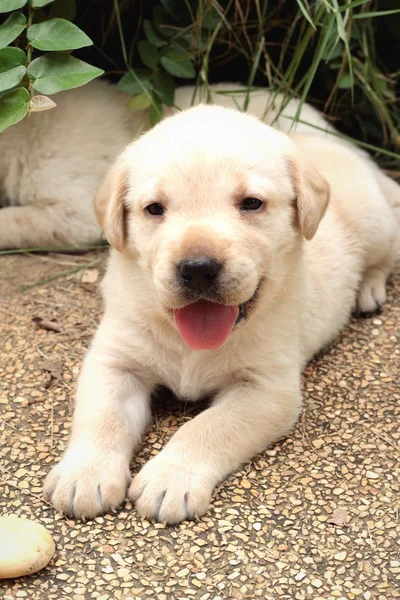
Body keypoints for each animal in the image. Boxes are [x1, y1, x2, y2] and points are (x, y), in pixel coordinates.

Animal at [43, 104, 400, 524]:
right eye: (154, 209)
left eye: (251, 203)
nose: (197, 268)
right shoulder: (115, 361)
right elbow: (103, 416)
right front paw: (85, 475)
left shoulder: (267, 389)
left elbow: (208, 427)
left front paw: (170, 478)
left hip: (375, 225)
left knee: (386, 256)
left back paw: (368, 290)